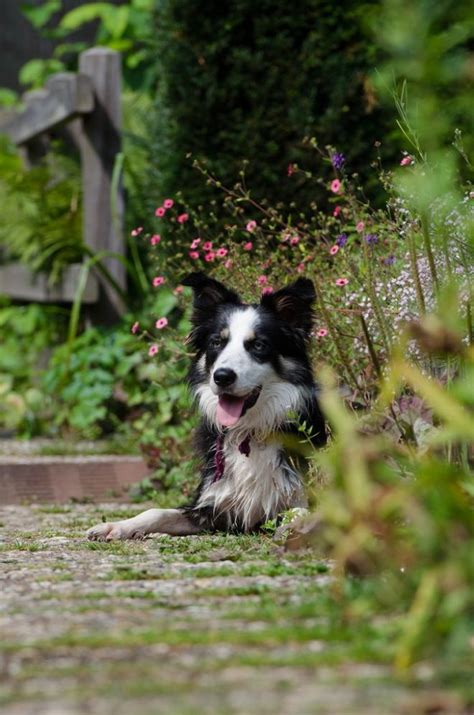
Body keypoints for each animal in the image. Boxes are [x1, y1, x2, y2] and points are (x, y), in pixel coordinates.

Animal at [88, 272, 326, 540]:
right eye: (216, 342)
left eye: (258, 345)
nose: (222, 377)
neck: (249, 432)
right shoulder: (213, 505)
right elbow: (157, 511)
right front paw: (117, 525)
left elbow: (303, 512)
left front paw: (293, 528)